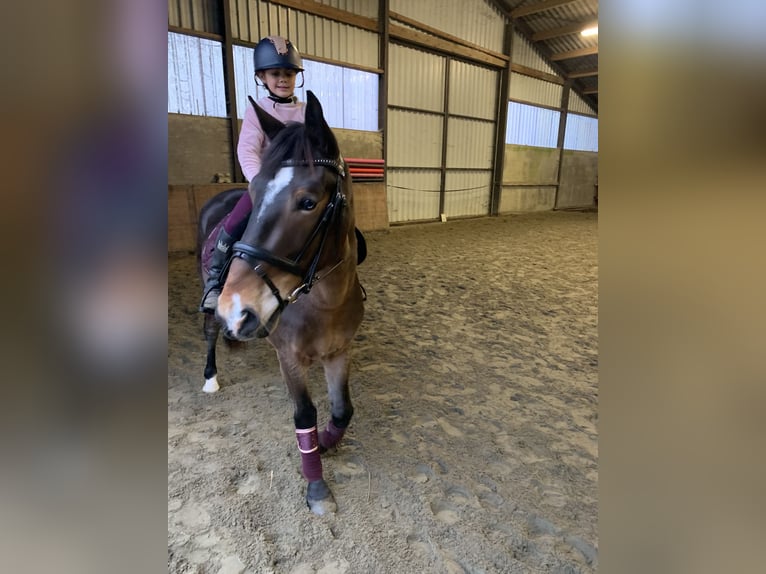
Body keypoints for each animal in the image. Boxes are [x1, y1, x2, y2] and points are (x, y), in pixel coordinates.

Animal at [196, 91, 365, 515]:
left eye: (308, 202)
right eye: (255, 194)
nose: (237, 307)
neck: (324, 301)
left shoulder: (340, 350)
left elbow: (343, 409)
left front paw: (326, 442)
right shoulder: (288, 355)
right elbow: (304, 413)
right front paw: (316, 486)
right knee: (209, 332)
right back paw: (211, 376)